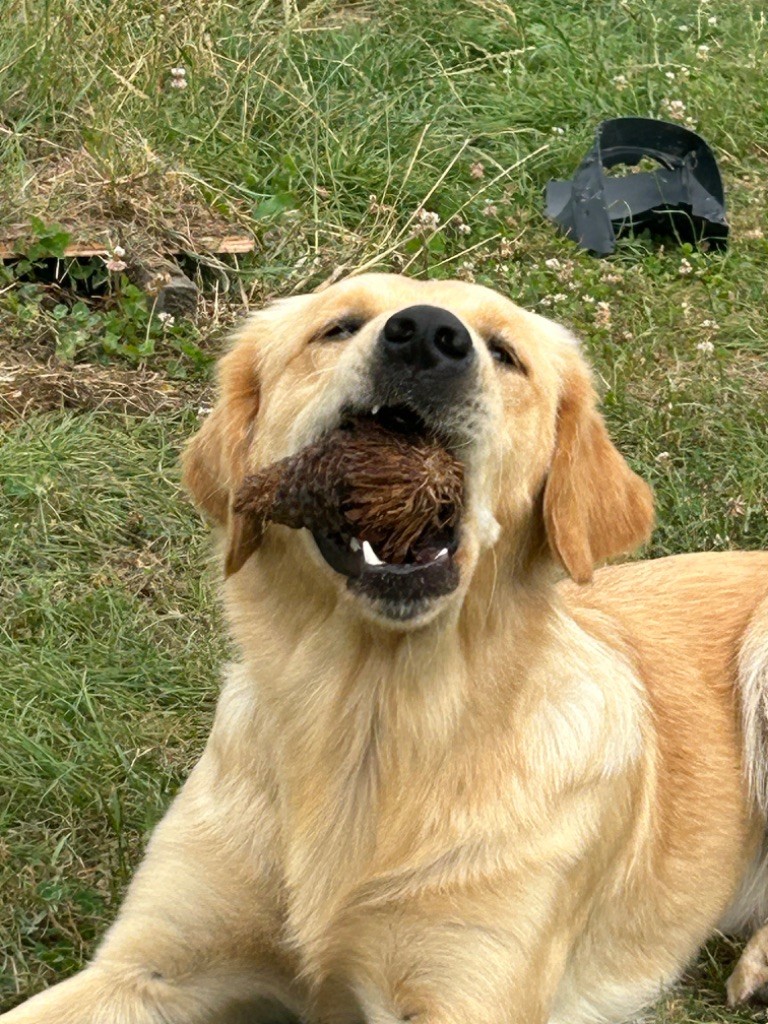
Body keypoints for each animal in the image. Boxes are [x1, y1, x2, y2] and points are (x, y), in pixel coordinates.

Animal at [4, 274, 768, 1024]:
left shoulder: (464, 992)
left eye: (506, 352)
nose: (428, 335)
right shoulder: (145, 968)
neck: (371, 720)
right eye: (337, 326)